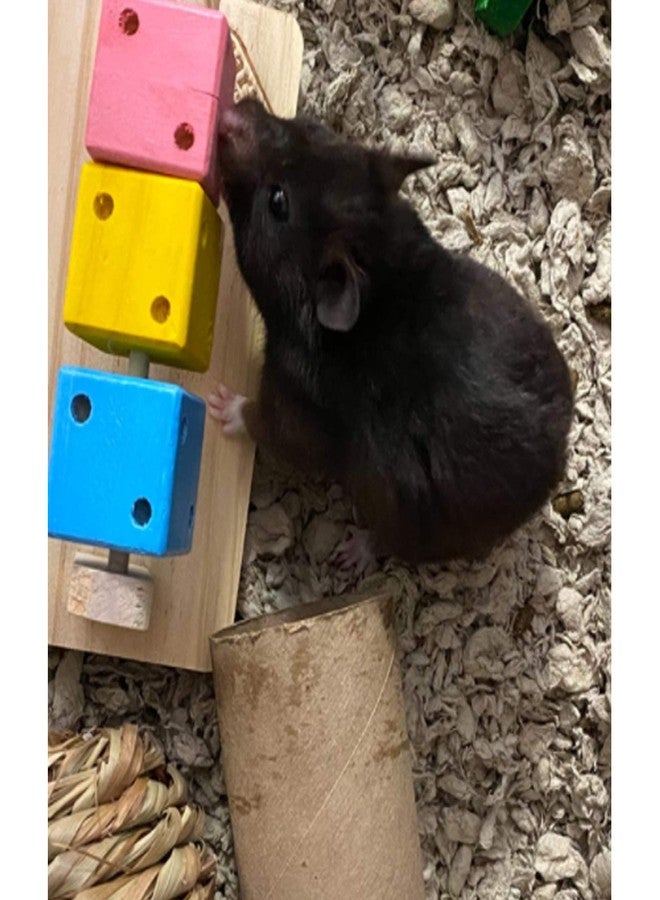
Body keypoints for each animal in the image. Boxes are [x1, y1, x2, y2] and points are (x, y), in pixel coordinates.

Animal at [208, 98, 574, 570]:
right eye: (311, 129)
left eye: (277, 201)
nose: (231, 114)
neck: (383, 267)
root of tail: (550, 477)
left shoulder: (294, 405)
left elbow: (264, 423)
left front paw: (221, 403)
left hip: (400, 509)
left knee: (390, 541)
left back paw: (352, 551)